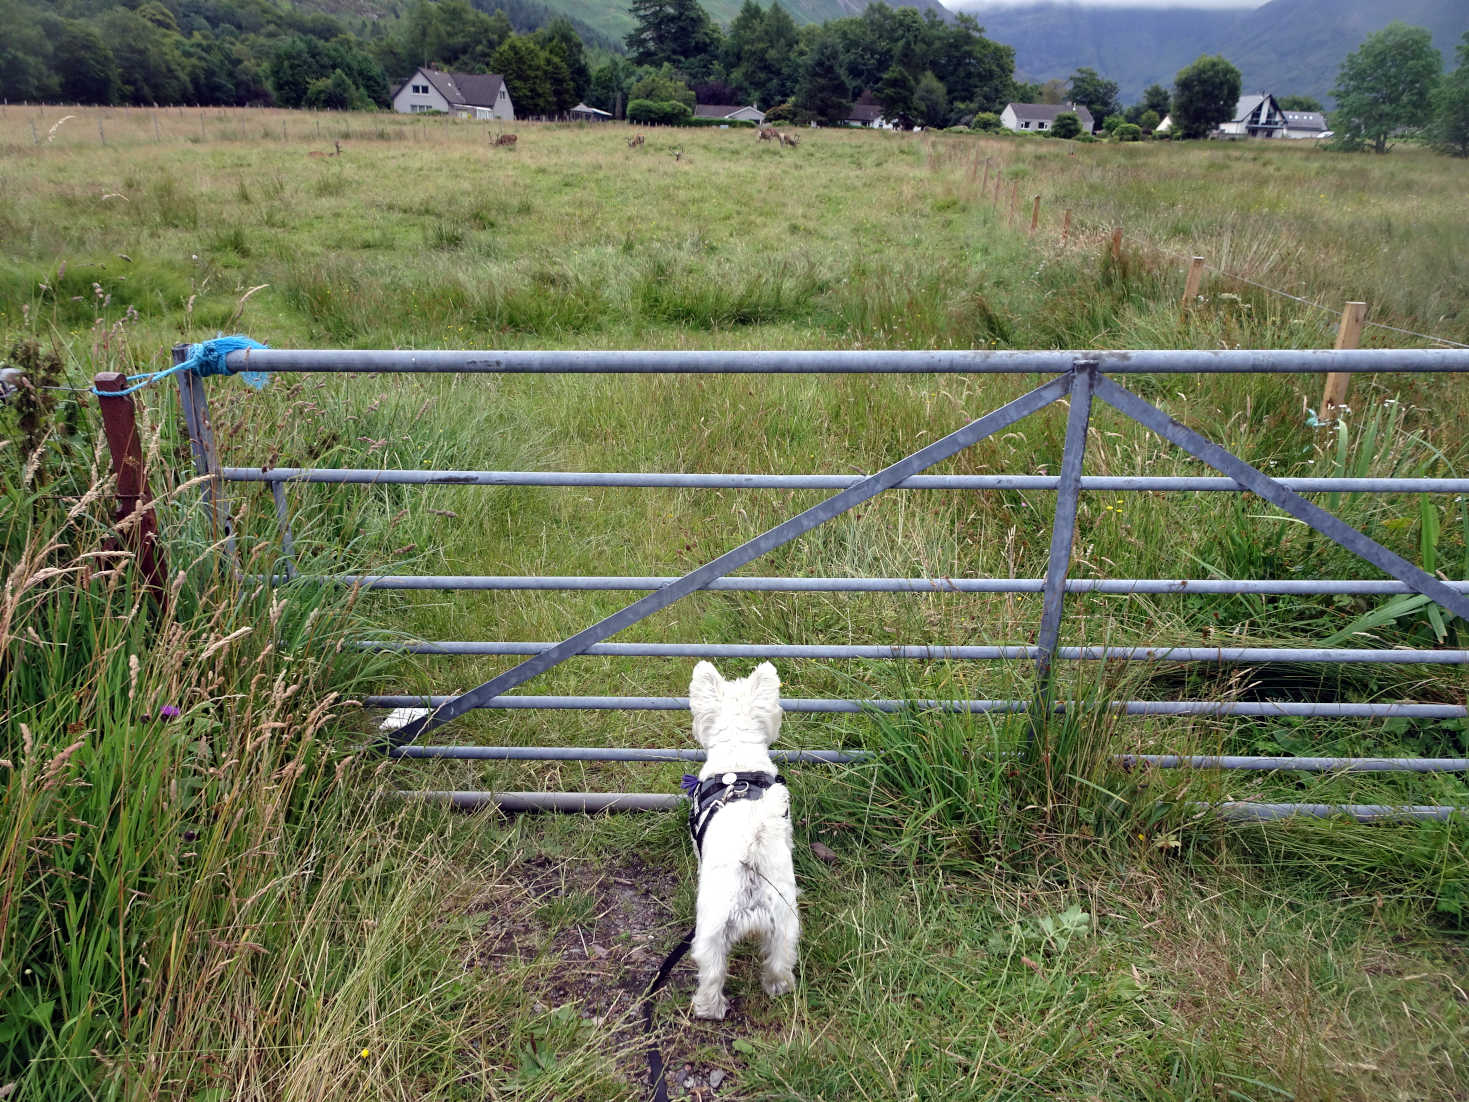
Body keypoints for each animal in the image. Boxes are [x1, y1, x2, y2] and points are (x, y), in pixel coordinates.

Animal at [687, 661, 805, 1022]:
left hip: (709, 932)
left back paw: (707, 1009)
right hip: (785, 925)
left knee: (711, 975)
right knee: (780, 963)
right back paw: (779, 988)